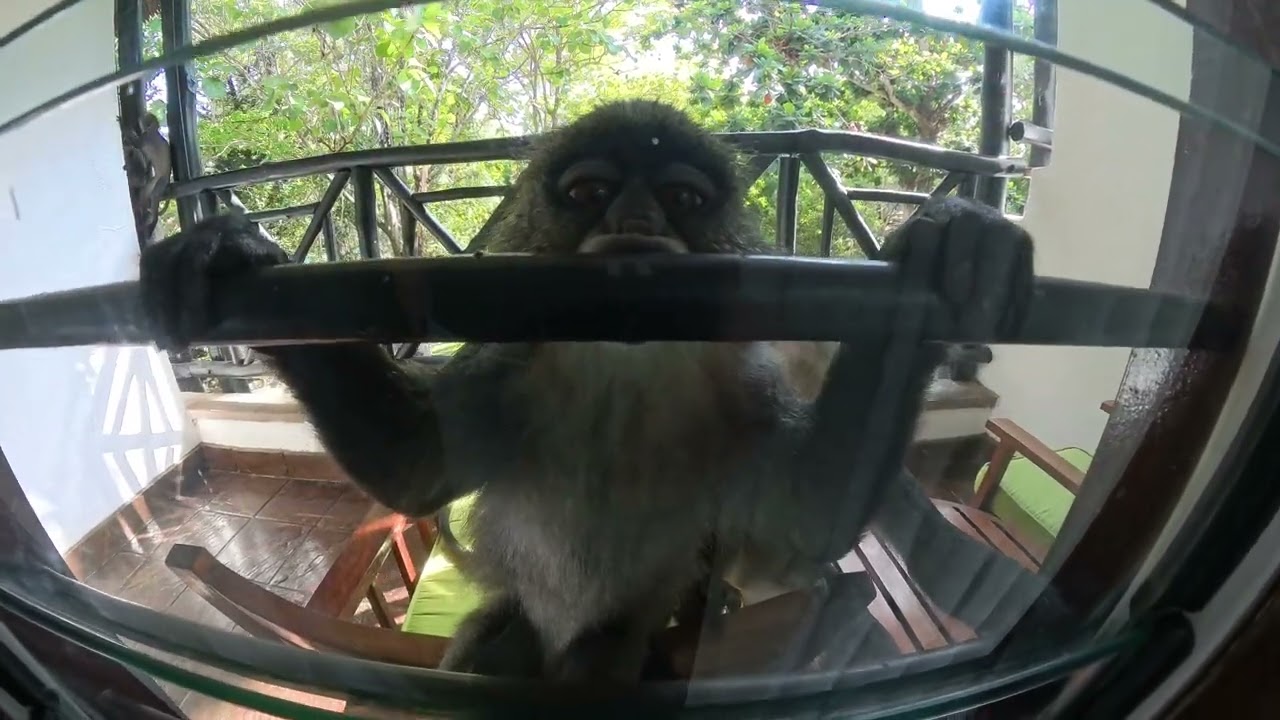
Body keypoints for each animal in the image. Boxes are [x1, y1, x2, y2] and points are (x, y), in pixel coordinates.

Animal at [139, 99, 1061, 684]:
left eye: (681, 197)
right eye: (590, 192)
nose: (637, 222)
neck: (624, 361)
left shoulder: (739, 381)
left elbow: (811, 513)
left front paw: (956, 255)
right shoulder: (513, 354)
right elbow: (417, 468)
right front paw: (230, 259)